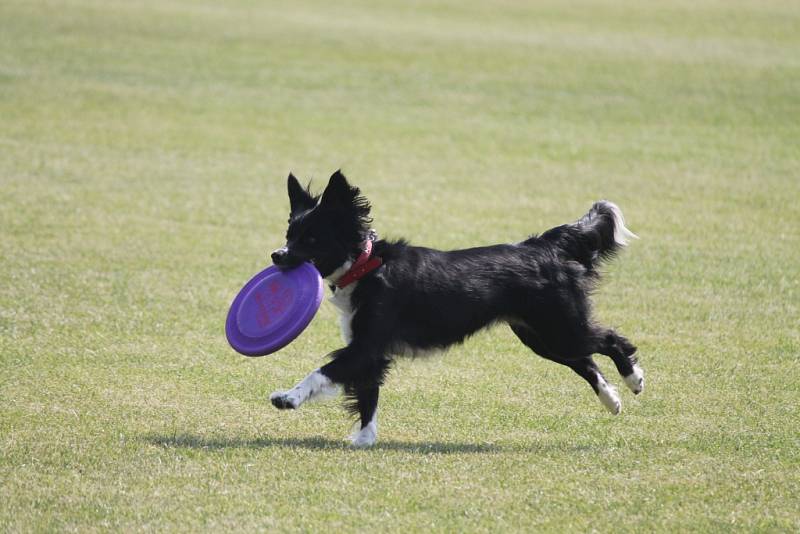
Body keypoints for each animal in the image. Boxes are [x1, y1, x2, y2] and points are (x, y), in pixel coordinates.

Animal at [268, 172, 644, 448]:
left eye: (311, 239)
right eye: (289, 233)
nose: (276, 255)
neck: (367, 266)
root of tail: (542, 246)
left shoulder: (366, 346)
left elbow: (322, 373)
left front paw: (287, 398)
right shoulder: (369, 352)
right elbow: (367, 396)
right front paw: (364, 439)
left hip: (560, 326)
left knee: (611, 340)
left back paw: (634, 379)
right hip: (541, 336)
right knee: (586, 360)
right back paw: (612, 400)